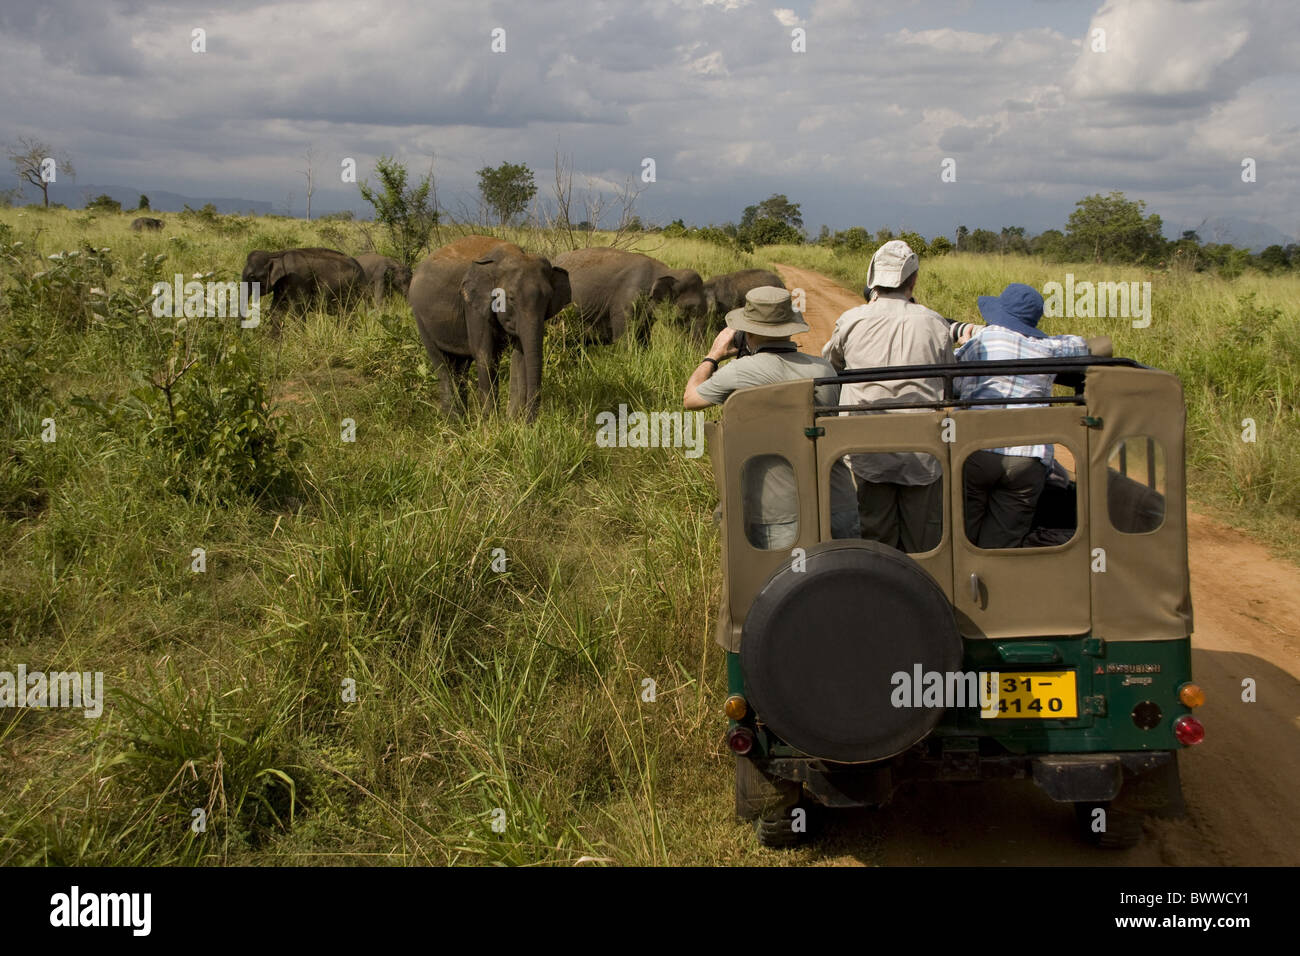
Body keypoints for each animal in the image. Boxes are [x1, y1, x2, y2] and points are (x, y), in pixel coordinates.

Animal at [405, 235, 569, 418]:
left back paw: (465, 419)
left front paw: (511, 421)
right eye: (511, 298)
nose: (529, 421)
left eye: (549, 298)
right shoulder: (473, 307)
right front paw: (491, 422)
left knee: (461, 368)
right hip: (420, 317)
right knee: (442, 364)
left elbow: (519, 357)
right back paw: (455, 421)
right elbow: (485, 356)